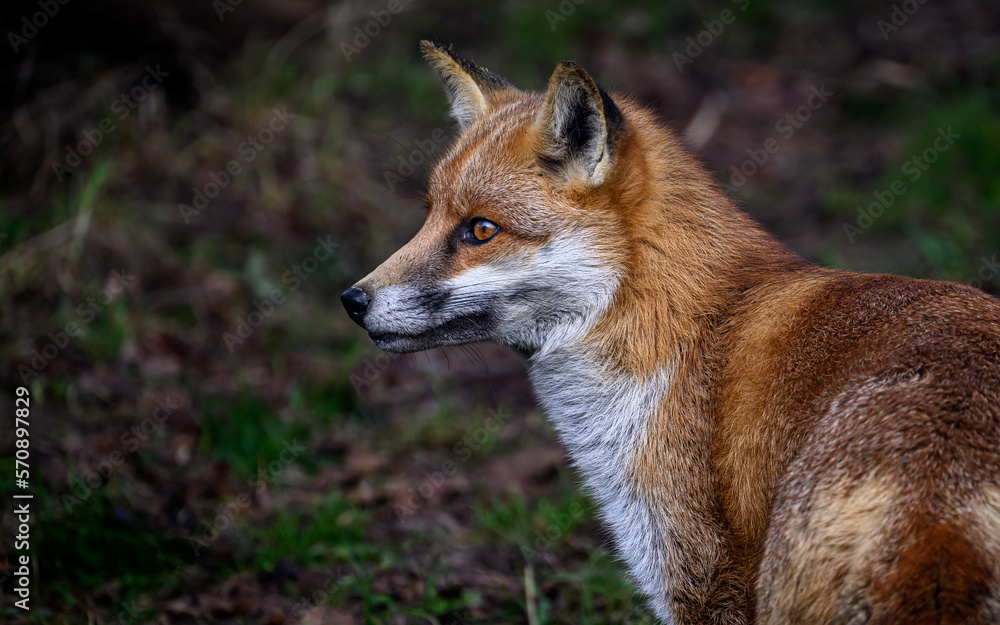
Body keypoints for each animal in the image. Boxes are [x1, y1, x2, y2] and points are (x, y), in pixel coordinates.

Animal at [341, 41, 1000, 624]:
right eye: (429, 215)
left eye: (481, 229)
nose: (352, 301)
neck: (684, 326)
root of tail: (938, 509)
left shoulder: (697, 575)